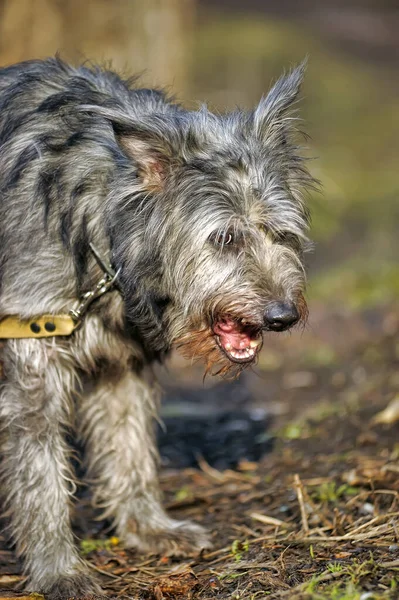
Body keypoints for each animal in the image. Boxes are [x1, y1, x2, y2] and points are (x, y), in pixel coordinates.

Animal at [0, 57, 314, 600]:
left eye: (280, 232)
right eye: (225, 238)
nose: (283, 316)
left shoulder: (121, 364)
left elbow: (129, 448)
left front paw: (149, 529)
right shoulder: (31, 355)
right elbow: (39, 476)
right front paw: (58, 570)